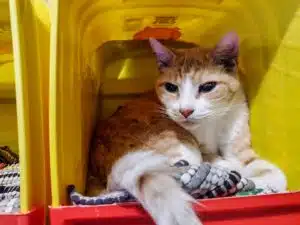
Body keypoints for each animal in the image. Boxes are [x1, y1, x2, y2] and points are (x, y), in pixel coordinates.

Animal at [149, 31, 288, 192]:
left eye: (208, 86)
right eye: (171, 87)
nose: (185, 111)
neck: (212, 123)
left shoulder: (239, 136)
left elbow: (272, 173)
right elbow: (218, 161)